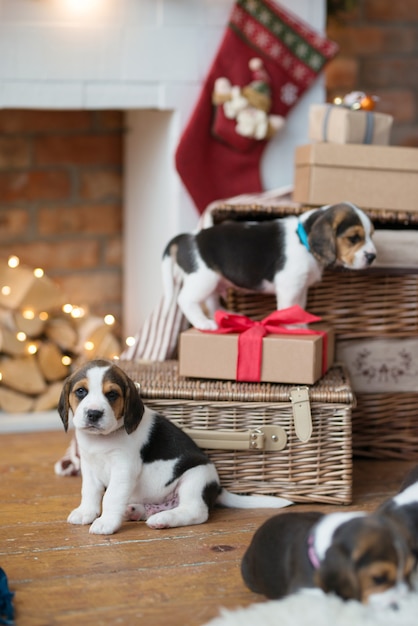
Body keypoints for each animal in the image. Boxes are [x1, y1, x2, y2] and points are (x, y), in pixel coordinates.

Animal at [58, 358, 292, 532]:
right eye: (81, 391)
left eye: (112, 394)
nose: (94, 414)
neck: (102, 439)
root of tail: (217, 487)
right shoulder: (89, 466)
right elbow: (90, 492)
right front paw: (86, 512)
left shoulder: (123, 468)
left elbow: (111, 496)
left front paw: (105, 522)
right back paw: (137, 511)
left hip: (194, 478)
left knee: (196, 512)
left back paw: (164, 519)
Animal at [162, 200, 376, 330]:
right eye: (353, 238)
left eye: (372, 235)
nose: (373, 256)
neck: (303, 240)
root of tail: (187, 238)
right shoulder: (290, 286)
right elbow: (288, 308)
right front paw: (291, 326)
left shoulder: (301, 287)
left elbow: (298, 307)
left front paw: (300, 325)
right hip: (203, 279)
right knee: (185, 300)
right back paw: (203, 323)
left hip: (212, 282)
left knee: (211, 302)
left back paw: (226, 315)